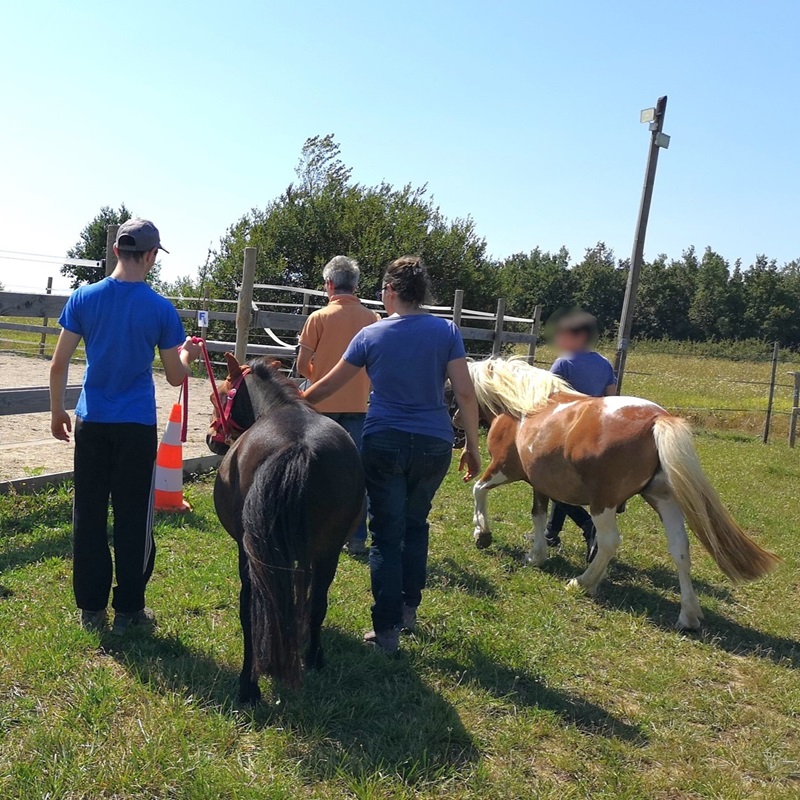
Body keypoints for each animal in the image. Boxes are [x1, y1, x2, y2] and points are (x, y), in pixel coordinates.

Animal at [205, 354, 364, 700]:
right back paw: (313, 658)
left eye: (216, 396)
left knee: (252, 607)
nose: (211, 440)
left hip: (252, 555)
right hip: (327, 552)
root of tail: (299, 446)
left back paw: (248, 685)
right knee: (317, 603)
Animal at [460, 358, 780, 632]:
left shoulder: (504, 469)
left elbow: (479, 490)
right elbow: (538, 515)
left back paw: (584, 582)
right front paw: (536, 555)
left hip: (604, 503)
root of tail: (657, 419)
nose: (456, 424)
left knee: (610, 541)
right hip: (664, 500)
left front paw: (482, 533)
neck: (525, 406)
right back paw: (688, 615)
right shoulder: (540, 483)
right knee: (680, 549)